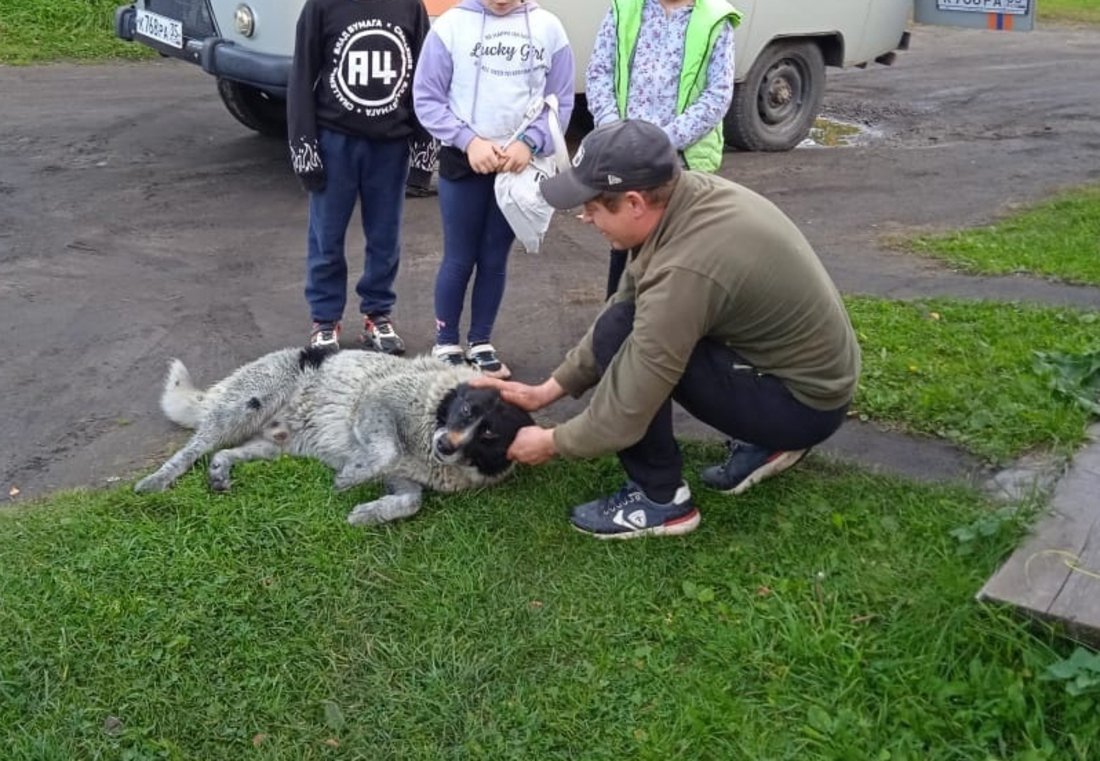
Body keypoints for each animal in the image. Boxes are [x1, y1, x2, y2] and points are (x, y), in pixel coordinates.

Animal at [130, 347, 534, 525]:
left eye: (489, 435)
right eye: (466, 411)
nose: (445, 446)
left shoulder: (402, 476)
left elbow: (411, 501)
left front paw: (369, 514)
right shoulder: (376, 400)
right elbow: (385, 453)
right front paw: (350, 478)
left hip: (273, 446)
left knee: (225, 453)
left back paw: (219, 472)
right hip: (245, 405)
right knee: (193, 448)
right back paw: (157, 480)